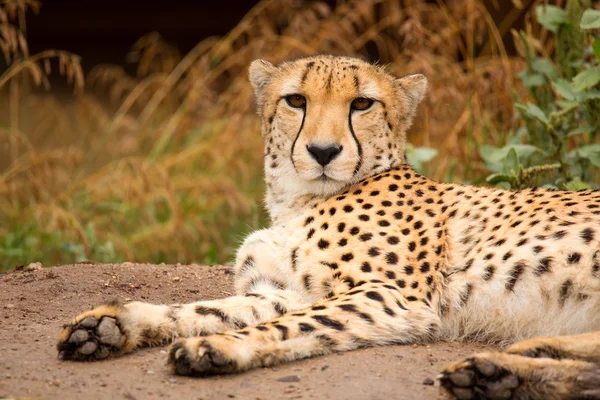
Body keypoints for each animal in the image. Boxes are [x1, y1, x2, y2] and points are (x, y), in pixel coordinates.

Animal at [57, 56, 600, 400]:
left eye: (362, 104)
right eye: (295, 100)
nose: (322, 151)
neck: (296, 201)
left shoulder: (389, 297)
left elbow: (292, 325)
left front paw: (220, 348)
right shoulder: (282, 291)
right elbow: (205, 309)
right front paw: (111, 325)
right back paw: (500, 372)